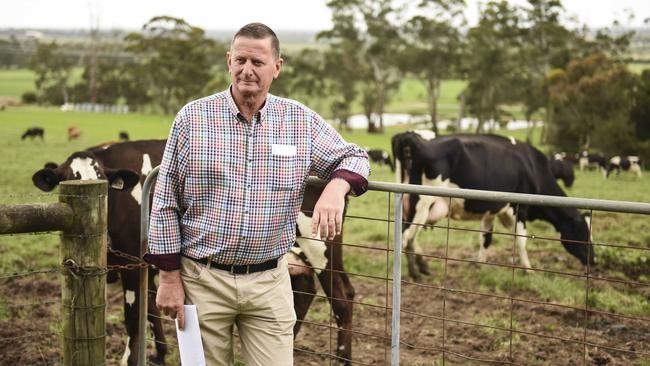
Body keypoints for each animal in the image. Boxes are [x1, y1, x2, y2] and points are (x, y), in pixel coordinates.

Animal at [390, 134, 592, 280]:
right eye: (583, 233)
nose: (593, 261)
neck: (533, 167)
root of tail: (412, 139)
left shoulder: (491, 211)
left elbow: (486, 238)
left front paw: (480, 264)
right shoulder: (520, 208)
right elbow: (521, 240)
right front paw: (528, 270)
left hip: (417, 206)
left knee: (411, 237)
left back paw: (422, 266)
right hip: (421, 203)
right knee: (405, 237)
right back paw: (414, 273)